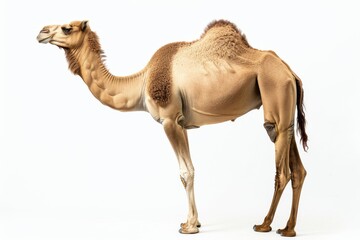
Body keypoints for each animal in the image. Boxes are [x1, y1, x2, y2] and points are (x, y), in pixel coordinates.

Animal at [36, 19, 308, 236]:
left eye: (67, 28)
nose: (41, 32)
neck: (141, 82)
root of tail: (290, 72)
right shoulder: (181, 122)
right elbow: (189, 170)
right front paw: (193, 222)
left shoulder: (168, 120)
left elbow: (185, 172)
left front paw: (189, 226)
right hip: (286, 115)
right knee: (298, 169)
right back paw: (288, 228)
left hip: (274, 96)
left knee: (282, 170)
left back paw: (264, 225)